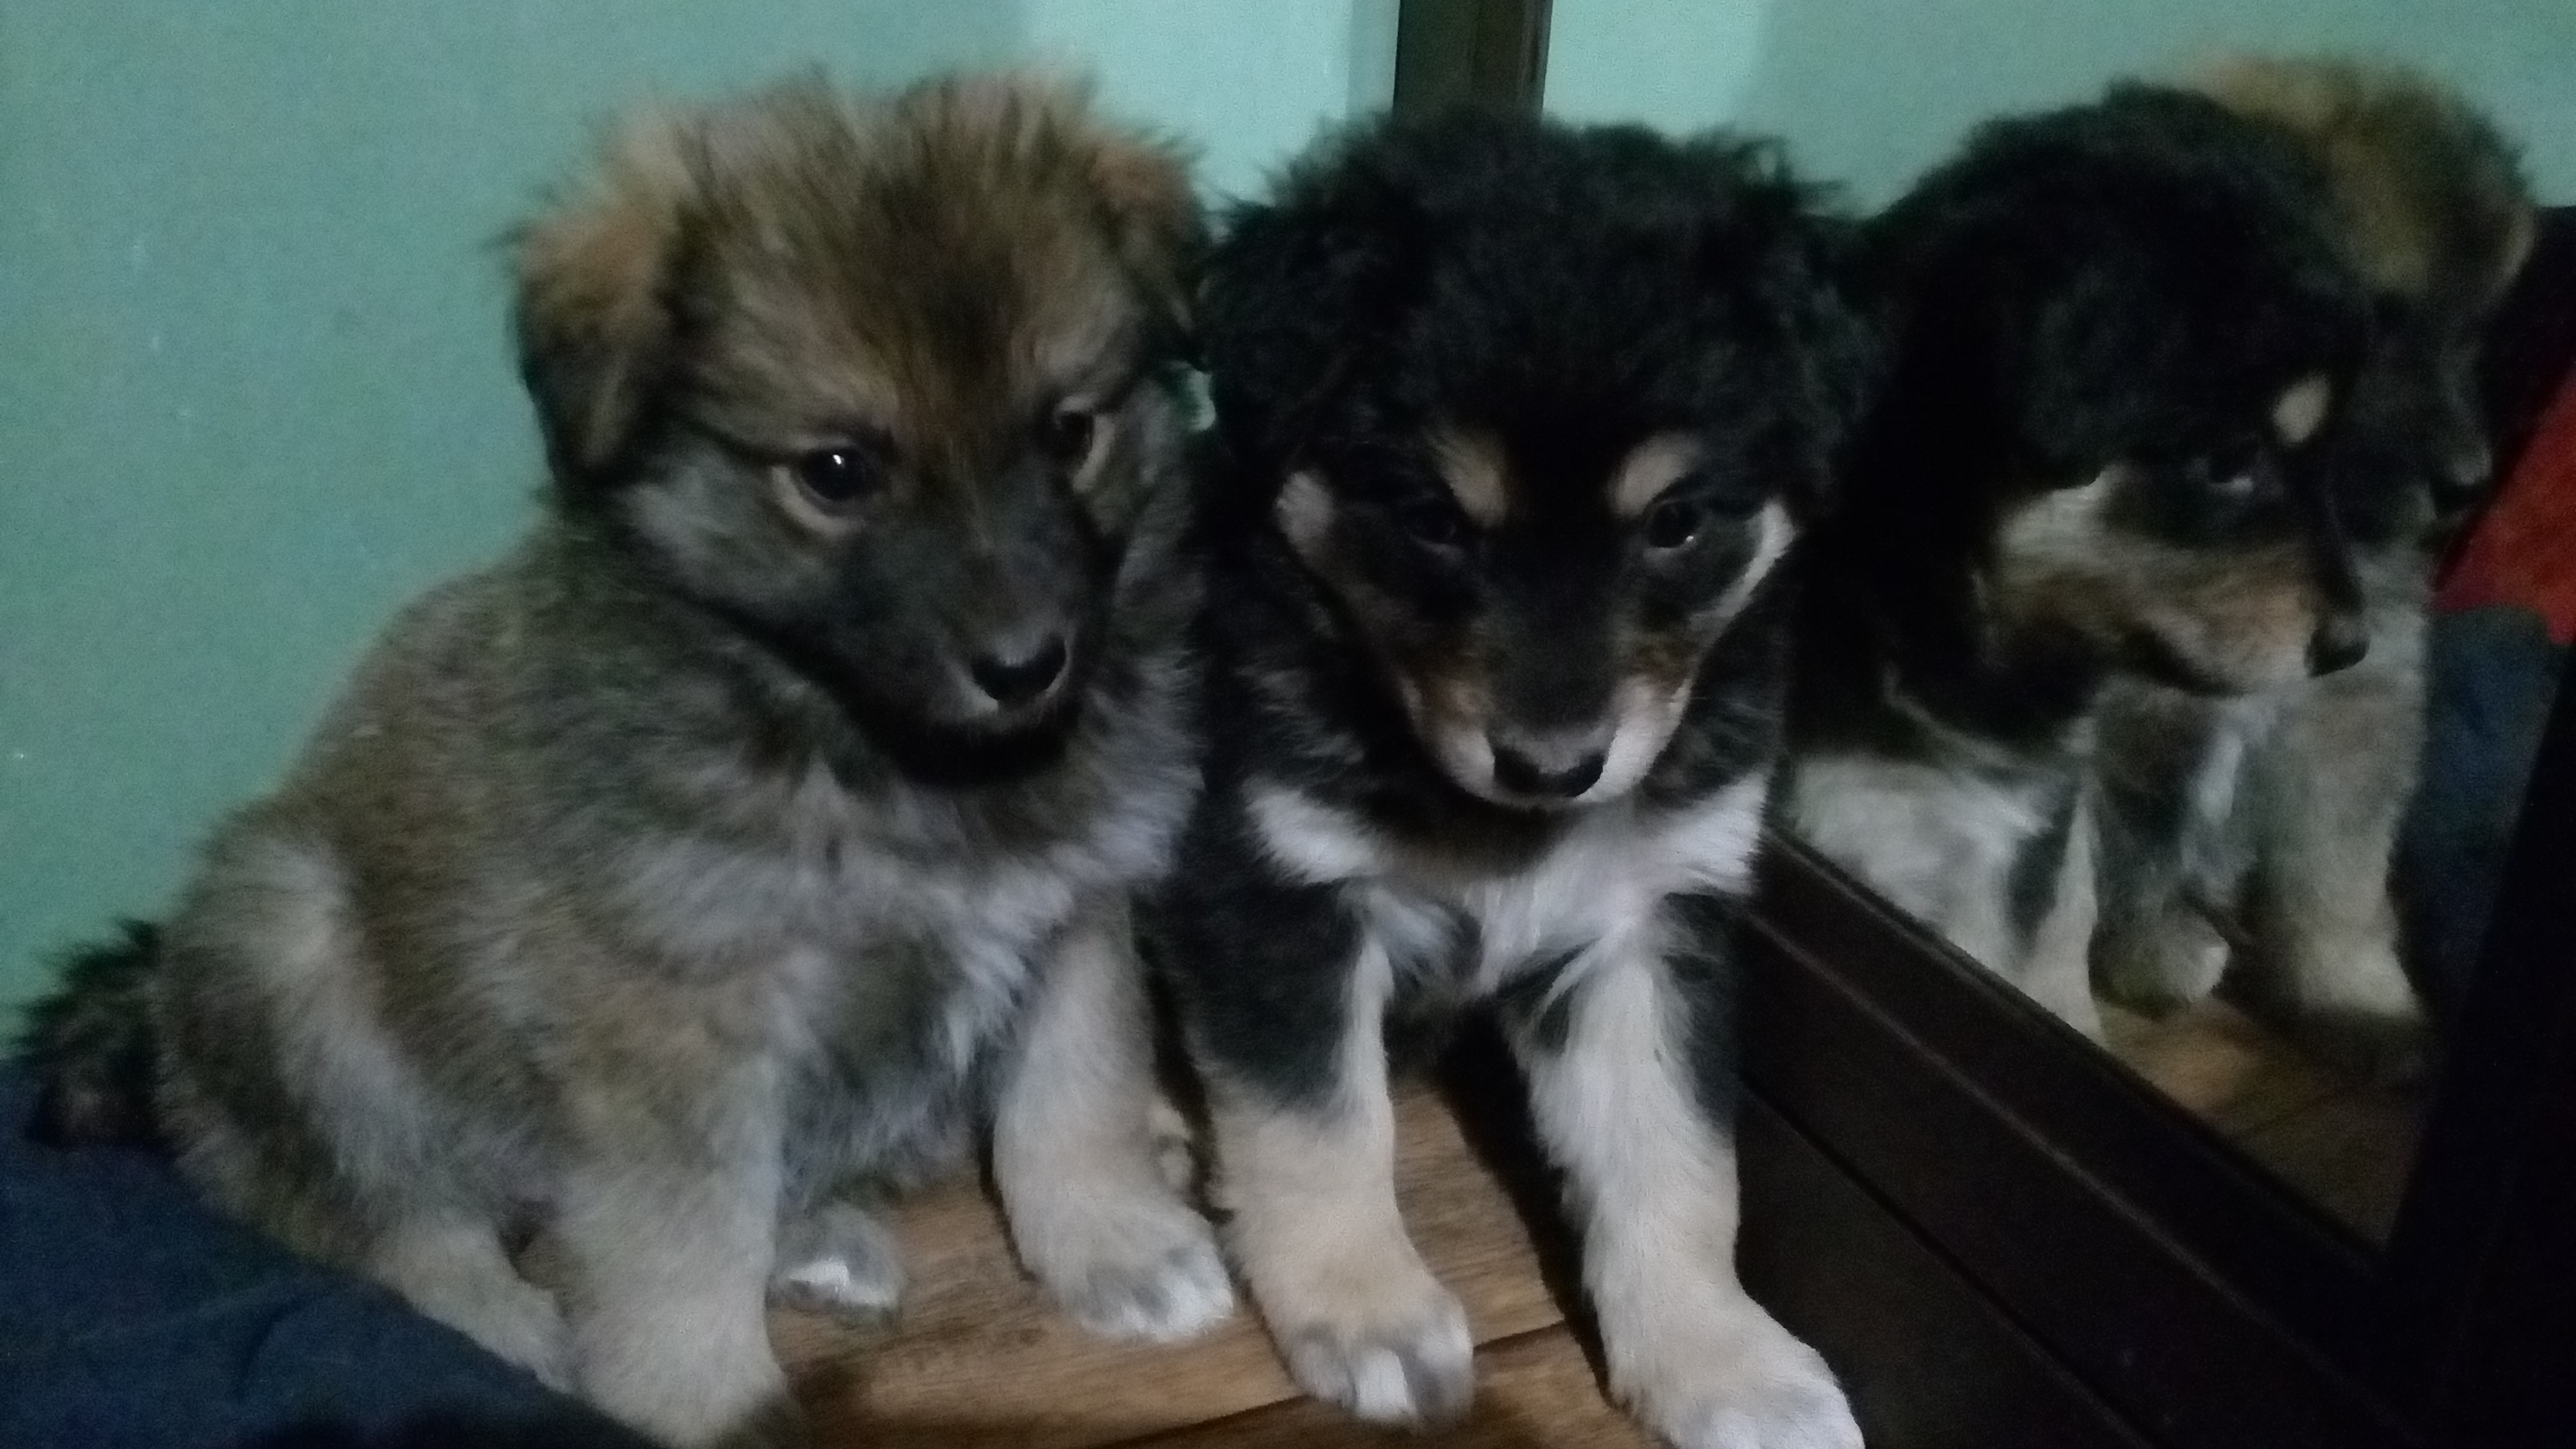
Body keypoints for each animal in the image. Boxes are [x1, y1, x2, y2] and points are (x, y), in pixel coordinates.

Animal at [18, 74, 1229, 1447]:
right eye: (837, 473)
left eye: (1071, 431)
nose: (1030, 665)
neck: (868, 744)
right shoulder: (671, 1020)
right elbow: (677, 1244)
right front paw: (708, 1404)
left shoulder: (1074, 910)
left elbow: (1071, 1095)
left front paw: (1118, 1243)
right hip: (290, 942)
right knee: (364, 1216)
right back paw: (507, 1324)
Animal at [1156, 111, 1873, 1449]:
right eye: (1432, 518)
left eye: (1678, 520)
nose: (1554, 767)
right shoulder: (1272, 895)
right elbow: (1317, 1125)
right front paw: (1371, 1315)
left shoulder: (1650, 927)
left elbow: (1680, 1160)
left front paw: (1726, 1365)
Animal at [2089, 59, 2535, 1078]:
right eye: (2373, 330)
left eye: (2469, 340)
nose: (2470, 483)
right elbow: (2123, 851)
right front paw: (2147, 953)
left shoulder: (2344, 717)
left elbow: (2337, 881)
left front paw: (2358, 1001)